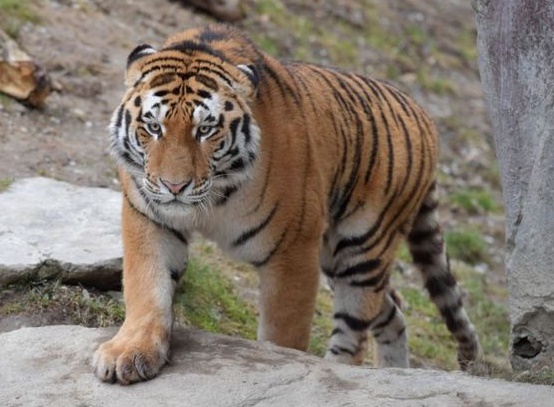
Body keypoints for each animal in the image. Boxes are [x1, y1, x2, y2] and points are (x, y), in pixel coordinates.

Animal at [92, 23, 476, 386]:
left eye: (205, 130)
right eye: (153, 126)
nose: (174, 186)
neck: (214, 197)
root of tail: (424, 115)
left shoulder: (293, 248)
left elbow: (284, 332)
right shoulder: (150, 217)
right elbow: (147, 286)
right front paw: (130, 352)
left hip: (363, 248)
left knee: (355, 333)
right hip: (335, 256)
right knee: (393, 309)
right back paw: (394, 372)